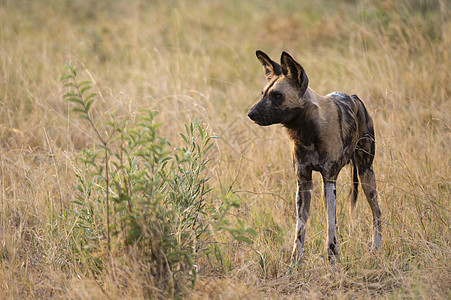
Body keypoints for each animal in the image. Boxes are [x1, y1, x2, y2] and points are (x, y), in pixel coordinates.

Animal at [249, 51, 384, 264]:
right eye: (262, 94)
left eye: (278, 95)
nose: (251, 114)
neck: (306, 133)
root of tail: (355, 98)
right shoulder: (304, 183)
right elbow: (300, 232)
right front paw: (294, 266)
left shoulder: (329, 180)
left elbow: (330, 230)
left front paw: (334, 265)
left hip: (366, 176)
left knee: (376, 213)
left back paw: (375, 248)